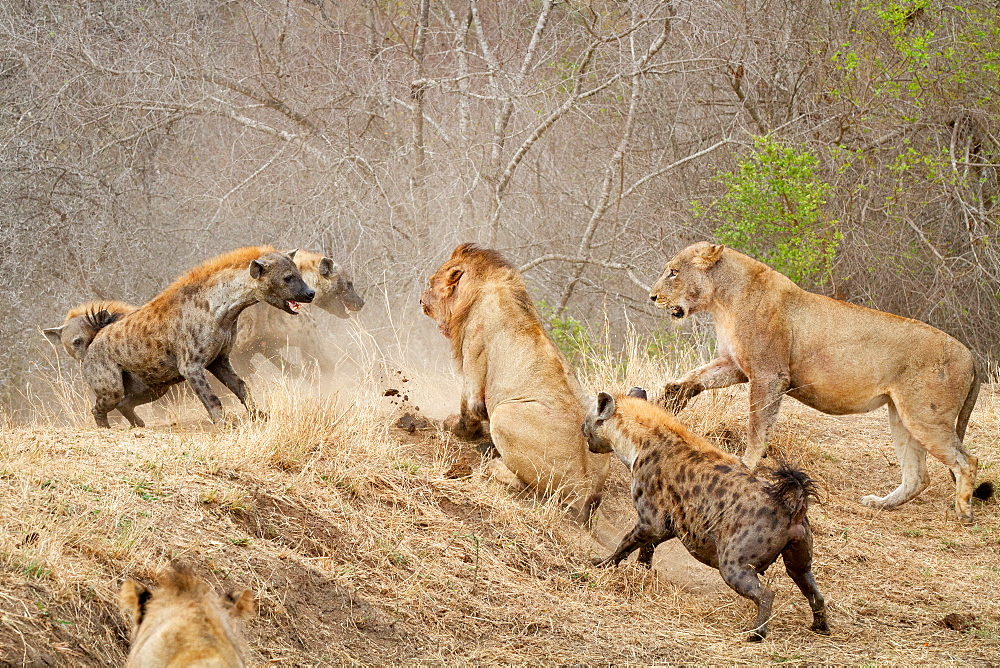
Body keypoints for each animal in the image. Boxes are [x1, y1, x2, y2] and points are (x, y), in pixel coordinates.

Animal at [420, 243, 608, 520]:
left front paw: (456, 427)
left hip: (505, 414)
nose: (421, 300)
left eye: (431, 282)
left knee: (526, 485)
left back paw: (494, 462)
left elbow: (469, 409)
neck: (481, 287)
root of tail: (584, 489)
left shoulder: (473, 358)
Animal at [652, 243, 988, 524]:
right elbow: (696, 377)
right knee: (918, 476)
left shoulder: (769, 374)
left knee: (967, 460)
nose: (653, 297)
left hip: (925, 416)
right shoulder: (736, 365)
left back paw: (964, 512)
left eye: (673, 271)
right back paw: (880, 504)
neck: (722, 300)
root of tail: (970, 354)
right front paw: (671, 398)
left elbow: (757, 426)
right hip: (902, 416)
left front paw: (746, 465)